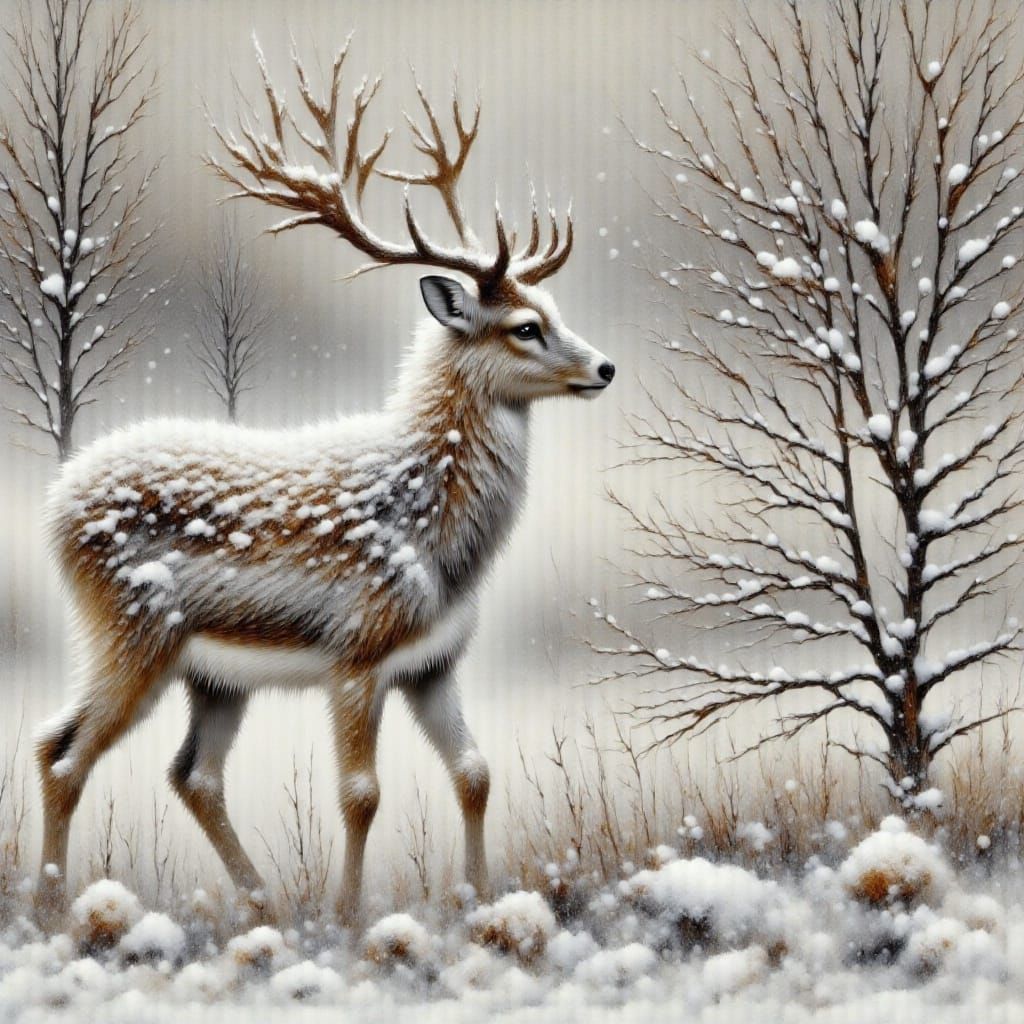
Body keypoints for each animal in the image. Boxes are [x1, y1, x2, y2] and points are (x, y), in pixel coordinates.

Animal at [33, 35, 614, 932]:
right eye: (525, 327)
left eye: (552, 309)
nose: (604, 367)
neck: (438, 542)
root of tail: (56, 502)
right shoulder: (356, 649)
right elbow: (361, 793)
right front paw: (347, 915)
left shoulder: (433, 661)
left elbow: (476, 772)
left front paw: (481, 899)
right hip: (130, 631)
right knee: (61, 754)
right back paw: (53, 910)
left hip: (212, 675)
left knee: (188, 774)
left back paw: (260, 900)